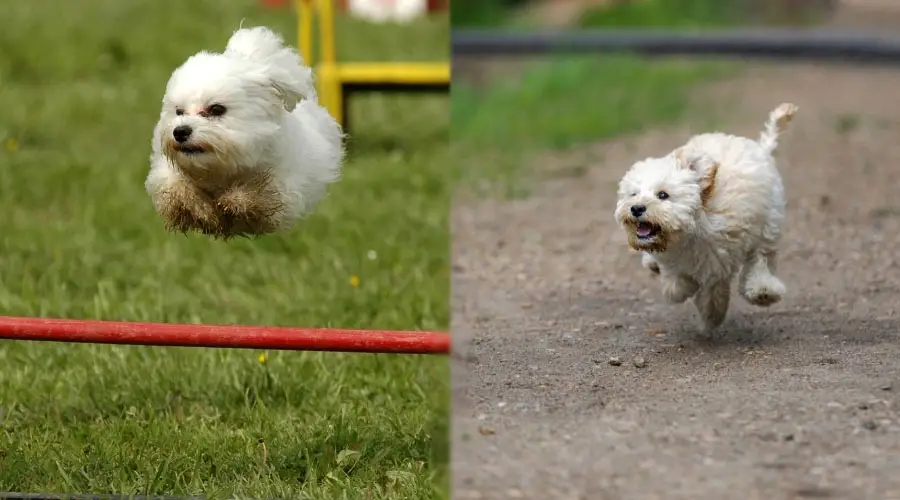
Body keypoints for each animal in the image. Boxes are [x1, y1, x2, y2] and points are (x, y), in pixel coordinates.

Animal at [146, 25, 342, 238]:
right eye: (179, 111)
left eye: (217, 109)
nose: (180, 131)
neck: (220, 169)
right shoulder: (167, 173)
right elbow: (177, 189)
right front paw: (200, 211)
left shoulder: (282, 185)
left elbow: (259, 194)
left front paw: (233, 202)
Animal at [616, 103, 800, 334]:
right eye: (633, 194)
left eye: (663, 195)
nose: (636, 208)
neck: (693, 227)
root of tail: (760, 149)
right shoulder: (676, 258)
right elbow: (676, 282)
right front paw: (680, 286)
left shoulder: (718, 259)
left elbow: (714, 290)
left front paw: (712, 316)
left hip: (768, 224)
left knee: (761, 258)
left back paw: (762, 289)